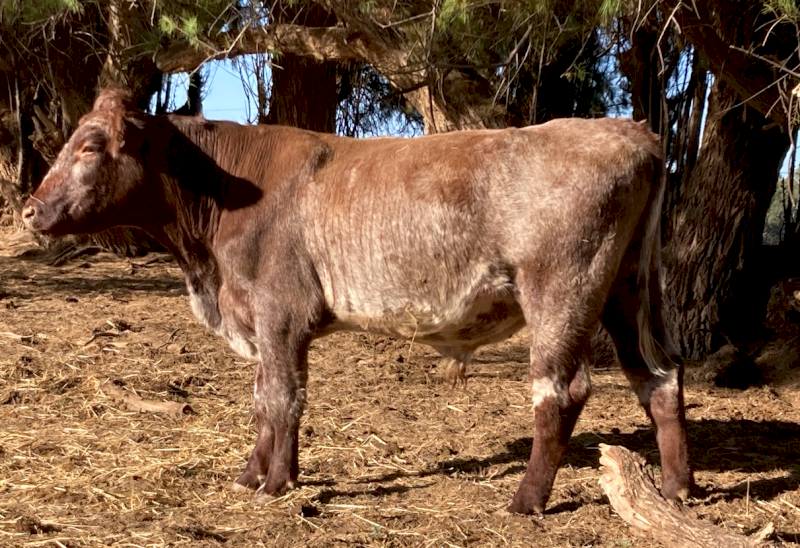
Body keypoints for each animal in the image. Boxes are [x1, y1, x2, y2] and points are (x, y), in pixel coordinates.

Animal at [21, 88, 692, 514]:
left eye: (90, 146)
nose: (29, 209)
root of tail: (630, 129)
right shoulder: (264, 318)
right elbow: (264, 399)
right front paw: (253, 474)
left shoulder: (280, 310)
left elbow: (282, 398)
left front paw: (274, 484)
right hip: (629, 287)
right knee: (659, 376)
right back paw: (678, 488)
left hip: (561, 288)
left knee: (562, 391)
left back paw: (526, 501)